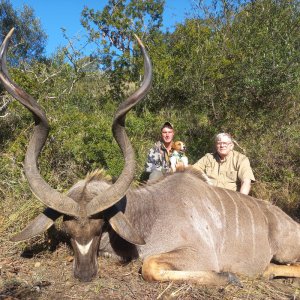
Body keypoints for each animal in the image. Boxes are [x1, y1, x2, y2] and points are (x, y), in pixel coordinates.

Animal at [1, 29, 300, 284]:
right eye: (69, 231)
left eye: (100, 228)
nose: (84, 275)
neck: (148, 213)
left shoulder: (199, 253)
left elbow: (149, 266)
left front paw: (228, 277)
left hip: (286, 249)